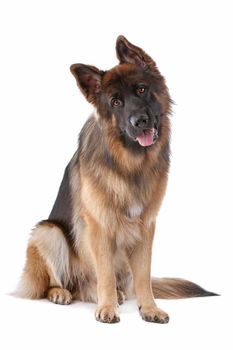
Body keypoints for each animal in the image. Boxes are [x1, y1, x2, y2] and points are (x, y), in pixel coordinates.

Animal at [16, 35, 217, 322]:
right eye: (116, 103)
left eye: (141, 90)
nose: (139, 121)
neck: (131, 164)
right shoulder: (99, 226)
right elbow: (106, 273)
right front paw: (107, 307)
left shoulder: (146, 226)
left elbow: (143, 275)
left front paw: (149, 308)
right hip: (48, 232)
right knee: (58, 282)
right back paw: (62, 293)